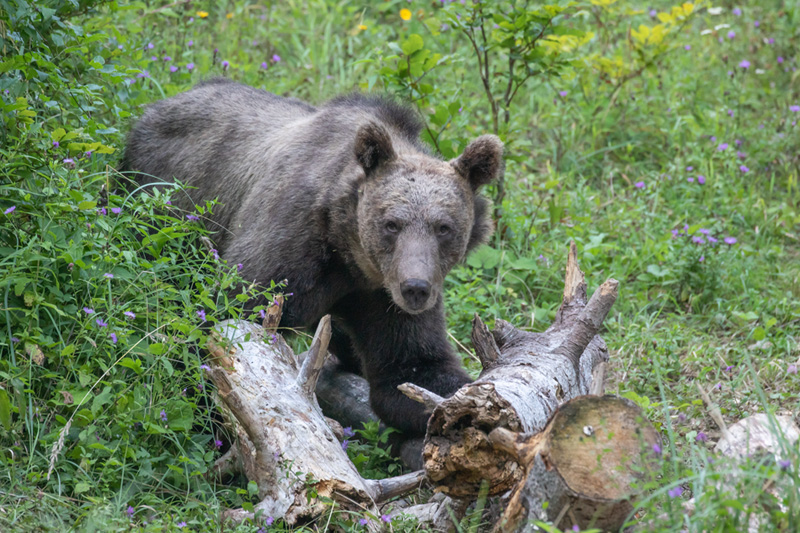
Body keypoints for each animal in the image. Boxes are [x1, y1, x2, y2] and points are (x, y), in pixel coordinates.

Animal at [120, 79, 500, 434]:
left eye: (443, 227)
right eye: (392, 223)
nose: (416, 288)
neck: (349, 252)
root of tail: (160, 103)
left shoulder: (383, 296)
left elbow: (412, 370)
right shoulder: (288, 245)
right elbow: (225, 319)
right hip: (160, 203)